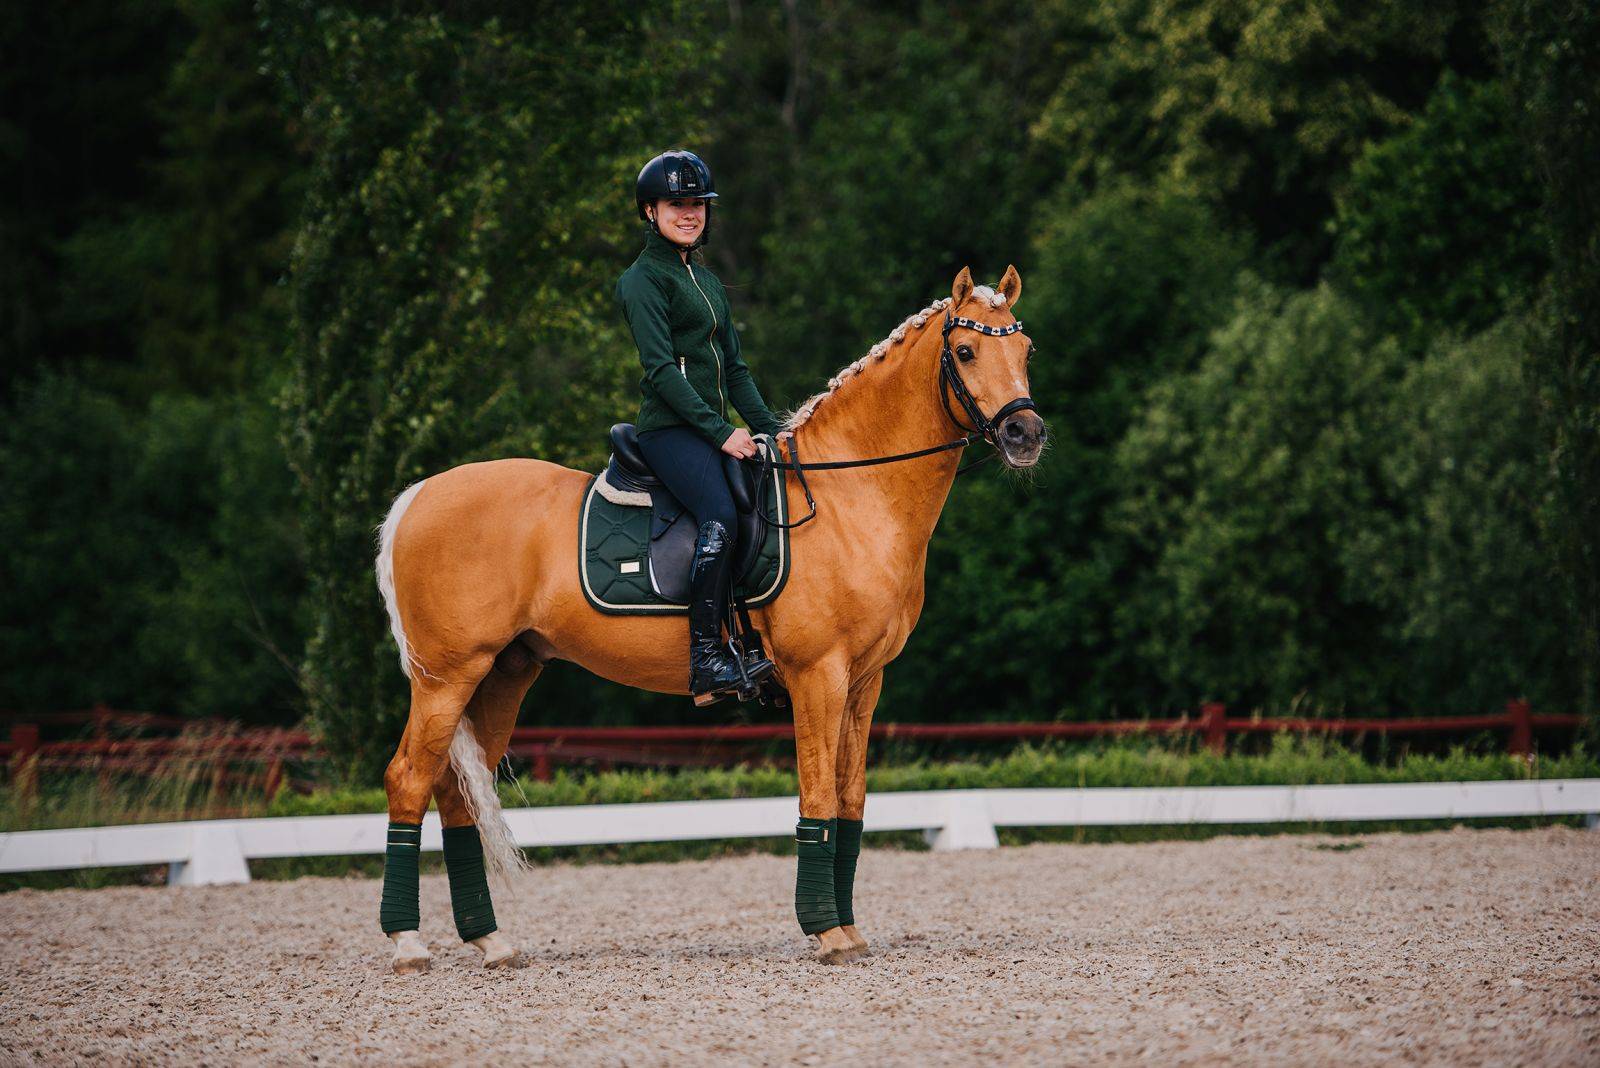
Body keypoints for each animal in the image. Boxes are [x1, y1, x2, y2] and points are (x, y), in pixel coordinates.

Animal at [377, 265, 1049, 965]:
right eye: (966, 351)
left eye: (1026, 351)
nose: (1026, 435)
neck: (849, 498)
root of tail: (418, 496)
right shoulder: (818, 675)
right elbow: (817, 793)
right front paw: (825, 931)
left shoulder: (865, 680)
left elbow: (850, 799)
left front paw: (849, 928)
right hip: (446, 678)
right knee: (408, 780)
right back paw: (407, 943)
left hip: (504, 675)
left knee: (454, 790)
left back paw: (491, 942)